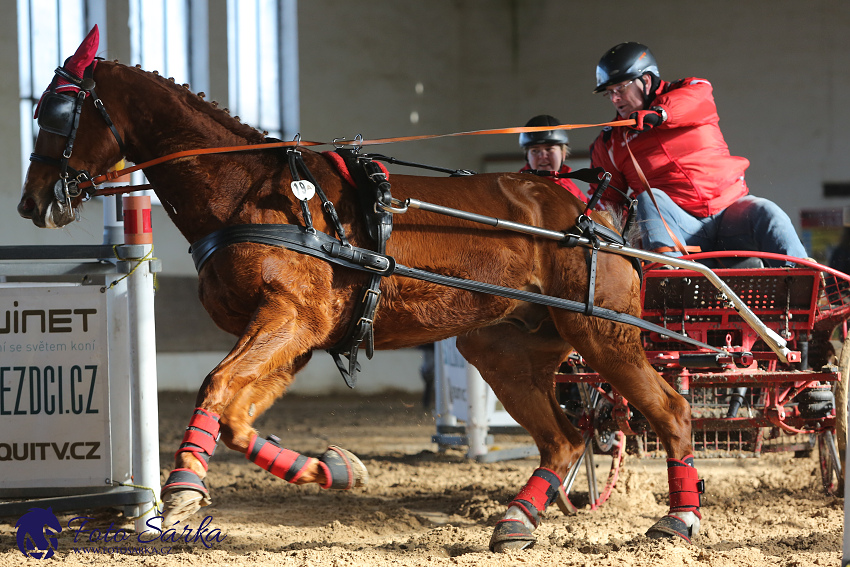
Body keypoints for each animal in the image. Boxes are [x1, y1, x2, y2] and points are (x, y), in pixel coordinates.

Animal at [16, 27, 700, 556]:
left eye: (55, 113)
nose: (31, 203)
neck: (252, 190)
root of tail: (594, 209)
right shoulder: (293, 339)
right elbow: (235, 417)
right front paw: (331, 468)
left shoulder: (288, 320)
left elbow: (216, 386)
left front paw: (184, 489)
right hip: (505, 349)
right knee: (563, 438)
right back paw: (516, 520)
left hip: (605, 333)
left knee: (670, 410)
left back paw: (679, 516)